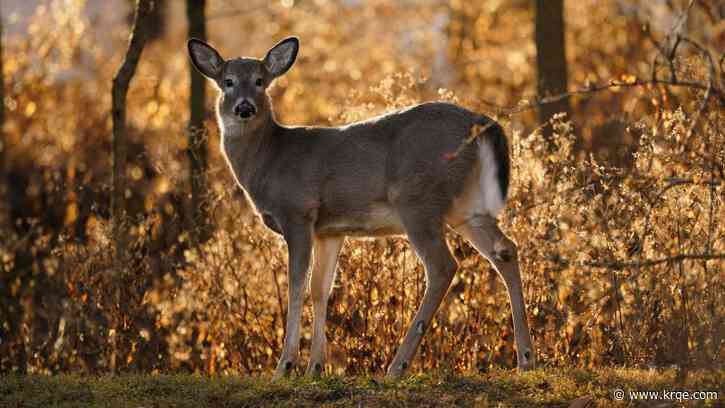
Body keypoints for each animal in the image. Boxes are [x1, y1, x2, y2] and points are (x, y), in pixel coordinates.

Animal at [187, 36, 535, 379]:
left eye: (260, 81)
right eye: (228, 82)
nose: (244, 107)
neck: (269, 160)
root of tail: (483, 123)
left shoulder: (297, 212)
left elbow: (295, 286)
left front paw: (285, 366)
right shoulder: (329, 230)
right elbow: (320, 288)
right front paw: (316, 367)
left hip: (417, 199)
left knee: (442, 266)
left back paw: (397, 366)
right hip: (467, 206)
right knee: (506, 249)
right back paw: (526, 358)